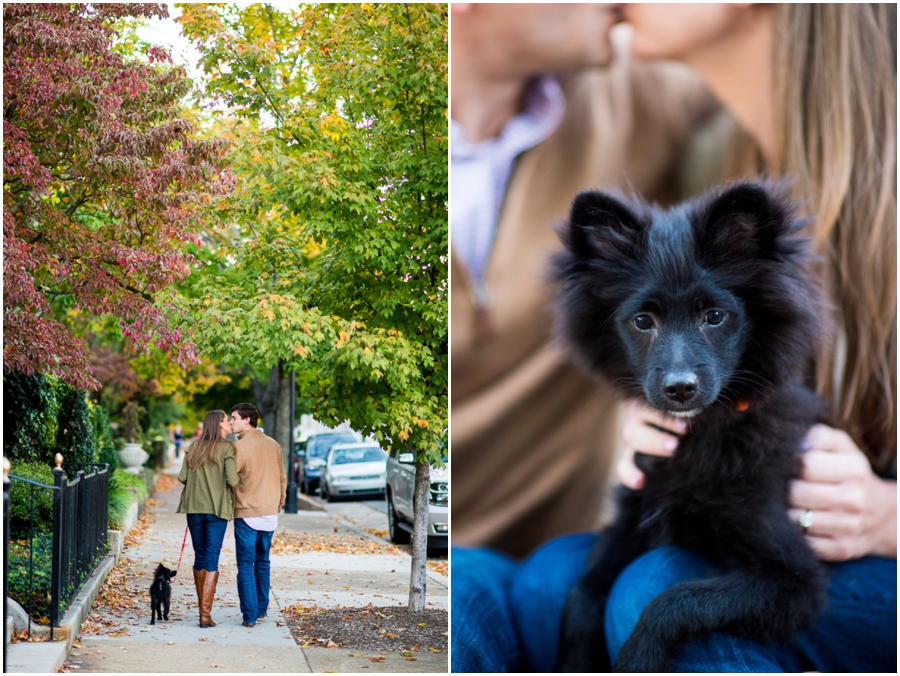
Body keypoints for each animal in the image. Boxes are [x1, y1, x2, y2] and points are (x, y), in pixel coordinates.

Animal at [552, 182, 832, 672]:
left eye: (715, 316)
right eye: (642, 321)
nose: (680, 388)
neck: (701, 433)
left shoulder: (795, 580)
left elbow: (677, 599)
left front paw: (636, 658)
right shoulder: (632, 512)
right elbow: (583, 593)